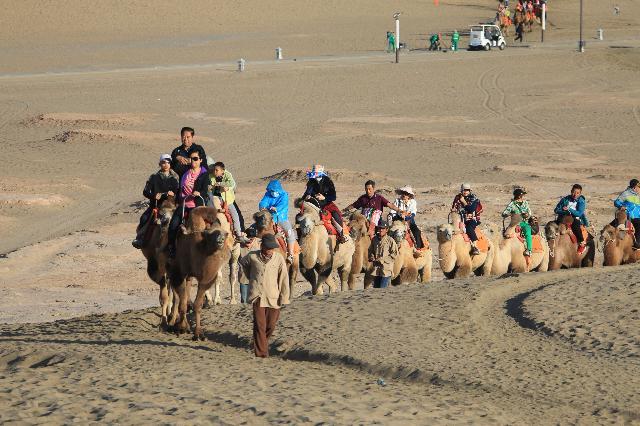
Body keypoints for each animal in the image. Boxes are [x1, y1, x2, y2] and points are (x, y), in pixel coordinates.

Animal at [141, 195, 180, 328]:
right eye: (161, 215)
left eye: (174, 212)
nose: (165, 221)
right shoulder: (157, 266)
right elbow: (164, 296)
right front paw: (164, 321)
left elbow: (174, 295)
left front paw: (173, 319)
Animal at [168, 206, 232, 340]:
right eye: (211, 234)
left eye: (225, 233)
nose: (220, 240)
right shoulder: (179, 273)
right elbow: (182, 302)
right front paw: (181, 328)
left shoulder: (206, 278)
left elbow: (197, 305)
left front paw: (198, 334)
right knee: (179, 298)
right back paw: (177, 324)